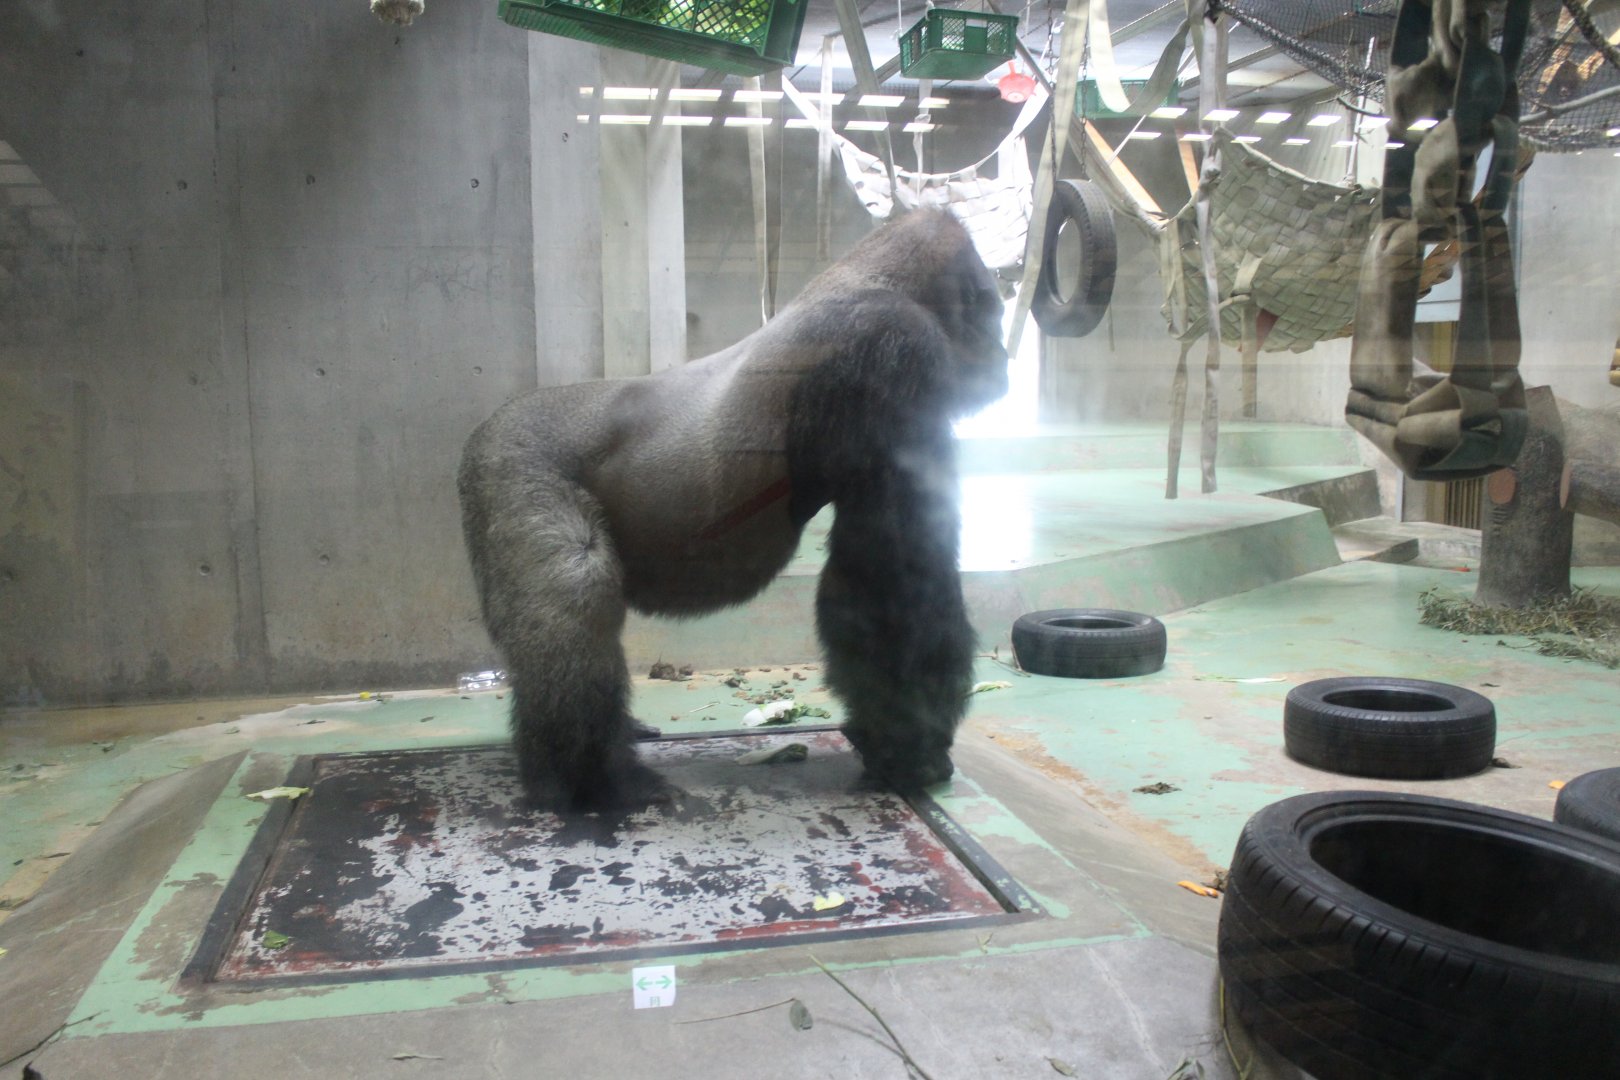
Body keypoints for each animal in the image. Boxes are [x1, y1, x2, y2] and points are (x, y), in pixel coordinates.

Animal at [457, 209, 1009, 811]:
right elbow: (891, 569)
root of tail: (485, 429)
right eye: (992, 310)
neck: (869, 277)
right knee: (575, 587)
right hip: (513, 459)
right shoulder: (893, 347)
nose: (1005, 357)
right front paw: (911, 746)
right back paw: (589, 779)